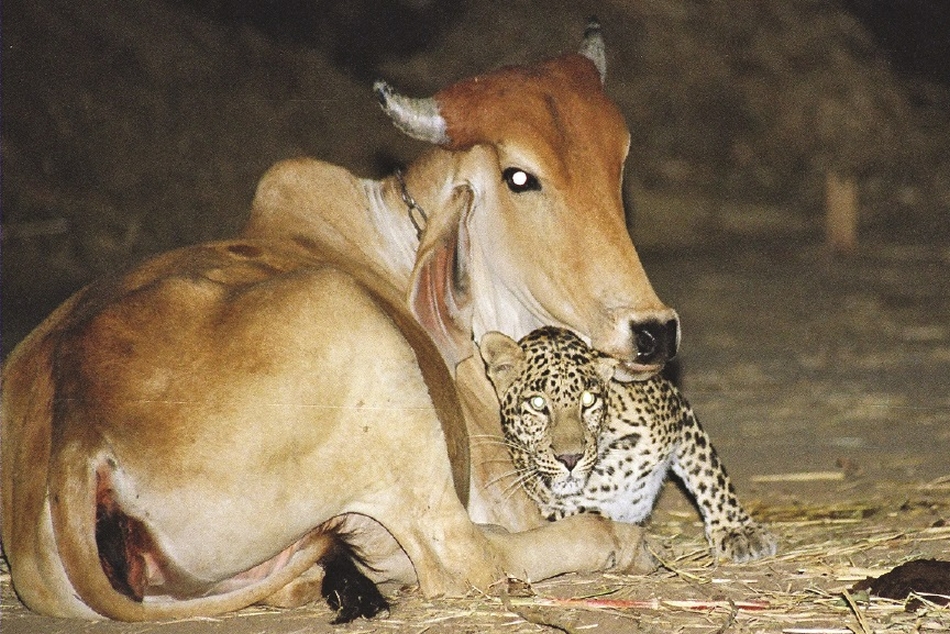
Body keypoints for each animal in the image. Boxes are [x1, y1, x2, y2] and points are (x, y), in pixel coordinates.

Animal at [3, 21, 680, 624]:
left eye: (619, 158)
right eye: (520, 177)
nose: (654, 330)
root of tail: (77, 443)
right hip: (370, 356)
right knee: (463, 558)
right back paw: (619, 544)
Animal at [480, 324, 776, 560]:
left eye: (588, 400)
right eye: (537, 403)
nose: (570, 459)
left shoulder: (678, 412)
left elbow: (709, 475)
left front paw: (738, 530)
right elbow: (592, 516)